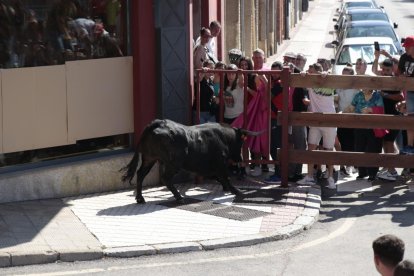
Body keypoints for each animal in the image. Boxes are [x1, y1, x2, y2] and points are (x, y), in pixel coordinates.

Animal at [120, 118, 262, 203]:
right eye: (240, 143)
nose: (240, 159)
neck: (223, 137)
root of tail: (157, 123)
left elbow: (219, 177)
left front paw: (227, 188)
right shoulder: (220, 163)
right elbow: (224, 177)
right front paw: (236, 190)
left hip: (150, 159)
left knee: (140, 174)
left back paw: (140, 198)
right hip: (173, 163)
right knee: (165, 178)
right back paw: (179, 197)